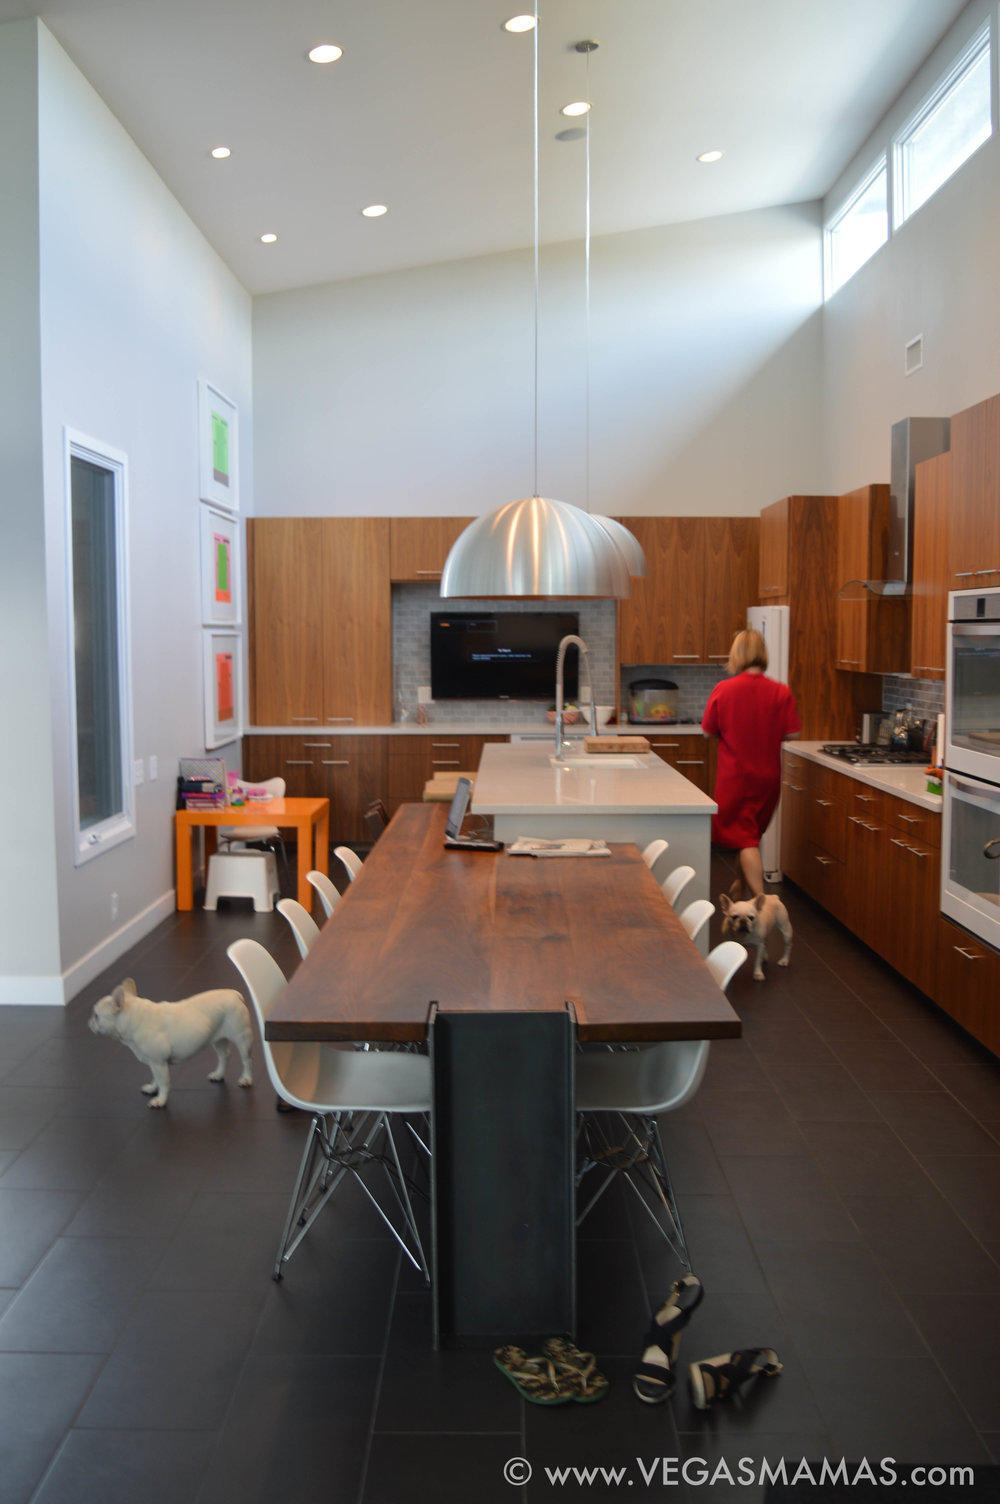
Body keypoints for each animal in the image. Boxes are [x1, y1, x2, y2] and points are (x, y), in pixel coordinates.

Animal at [88, 974, 254, 1106]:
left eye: (96, 1015)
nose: (89, 1021)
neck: (133, 1017)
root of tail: (233, 994)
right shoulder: (154, 1063)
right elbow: (155, 1077)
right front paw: (152, 1088)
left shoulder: (158, 1062)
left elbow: (163, 1081)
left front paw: (160, 1100)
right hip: (217, 1038)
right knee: (224, 1055)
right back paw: (218, 1075)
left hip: (242, 1037)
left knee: (246, 1060)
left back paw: (246, 1079)